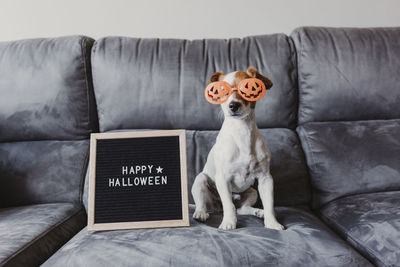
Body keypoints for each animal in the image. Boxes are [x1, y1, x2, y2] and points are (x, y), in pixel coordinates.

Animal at [191, 66, 284, 230]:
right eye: (221, 91)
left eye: (247, 88)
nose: (233, 105)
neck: (242, 131)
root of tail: (217, 208)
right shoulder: (223, 178)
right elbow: (229, 205)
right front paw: (229, 222)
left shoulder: (266, 179)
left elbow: (269, 204)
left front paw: (272, 222)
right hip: (201, 180)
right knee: (206, 203)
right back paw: (201, 213)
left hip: (252, 191)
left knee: (242, 208)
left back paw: (258, 212)